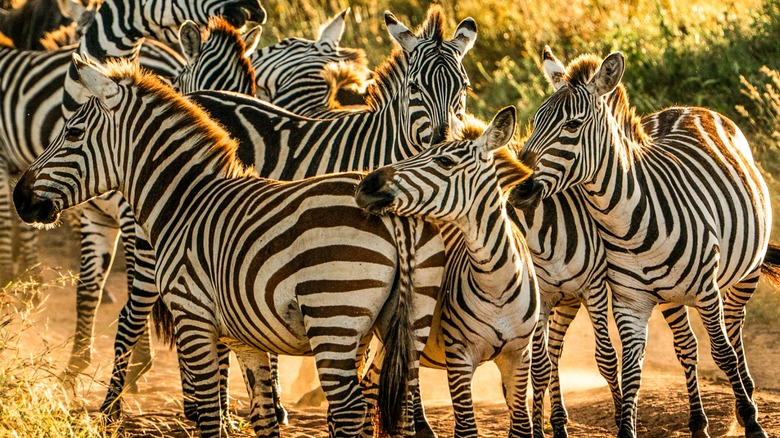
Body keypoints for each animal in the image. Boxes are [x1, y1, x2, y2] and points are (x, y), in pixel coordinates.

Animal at [14, 55, 446, 438]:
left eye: (72, 133)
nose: (20, 197)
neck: (186, 201)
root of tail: (391, 211)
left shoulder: (193, 317)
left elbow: (209, 416)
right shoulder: (244, 336)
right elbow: (263, 416)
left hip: (333, 316)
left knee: (350, 410)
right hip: (405, 320)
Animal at [356, 105, 539, 437]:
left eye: (445, 162)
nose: (366, 185)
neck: (497, 284)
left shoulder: (519, 356)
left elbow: (521, 426)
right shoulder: (459, 356)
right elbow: (466, 428)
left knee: (371, 387)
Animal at [513, 46, 780, 438]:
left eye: (572, 126)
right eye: (535, 121)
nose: (517, 189)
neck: (625, 225)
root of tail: (685, 108)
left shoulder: (706, 290)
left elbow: (722, 352)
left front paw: (752, 422)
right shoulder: (630, 303)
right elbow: (631, 368)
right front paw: (626, 427)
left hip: (746, 271)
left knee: (733, 331)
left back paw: (744, 400)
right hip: (670, 296)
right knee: (686, 346)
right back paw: (698, 422)